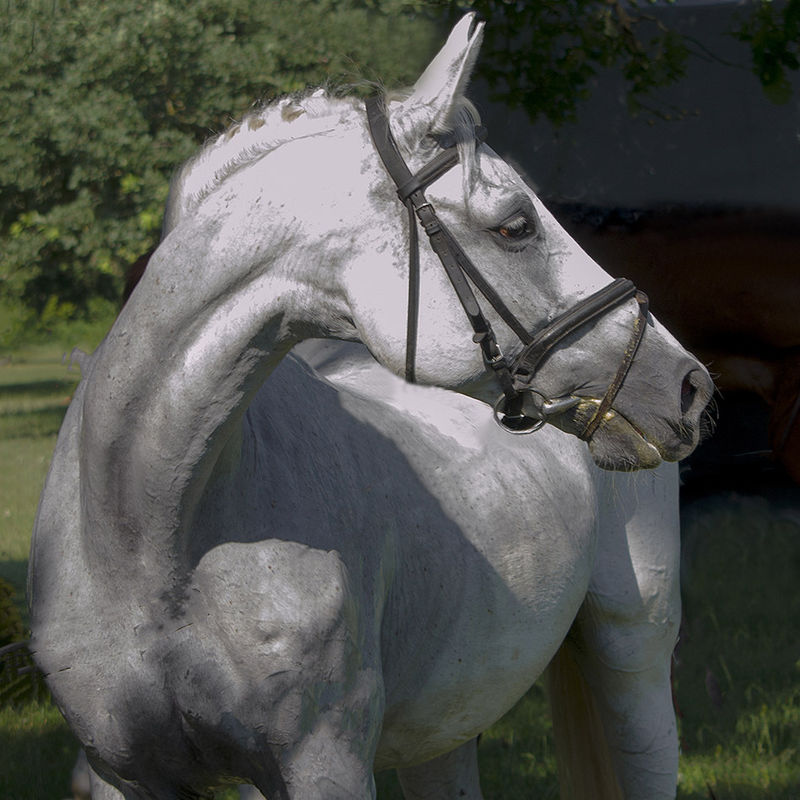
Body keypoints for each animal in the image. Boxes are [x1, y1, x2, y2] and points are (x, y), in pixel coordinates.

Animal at [29, 16, 712, 800]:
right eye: (515, 225)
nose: (689, 385)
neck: (144, 534)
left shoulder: (323, 763)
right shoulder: (122, 772)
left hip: (633, 655)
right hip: (448, 722)